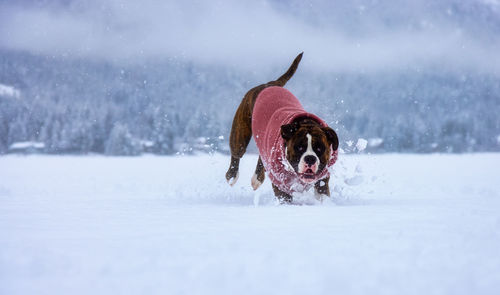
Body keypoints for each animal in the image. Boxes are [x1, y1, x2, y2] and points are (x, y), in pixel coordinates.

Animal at [227, 52, 340, 204]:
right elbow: (284, 197)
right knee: (237, 154)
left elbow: (322, 193)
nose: (310, 158)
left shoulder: (322, 179)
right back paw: (232, 176)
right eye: (299, 147)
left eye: (319, 148)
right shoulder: (280, 183)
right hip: (240, 134)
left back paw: (257, 178)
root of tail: (271, 83)